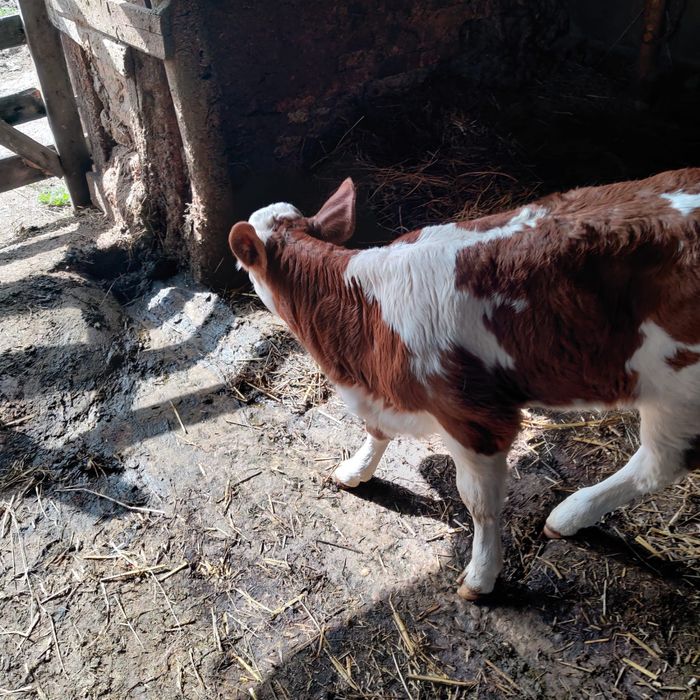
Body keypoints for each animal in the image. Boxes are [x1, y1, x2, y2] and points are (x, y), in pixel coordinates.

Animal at [228, 169, 700, 600]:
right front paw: (356, 471)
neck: (365, 306)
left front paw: (481, 576)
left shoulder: (474, 417)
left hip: (677, 390)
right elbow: (376, 431)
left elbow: (479, 504)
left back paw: (570, 513)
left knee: (659, 463)